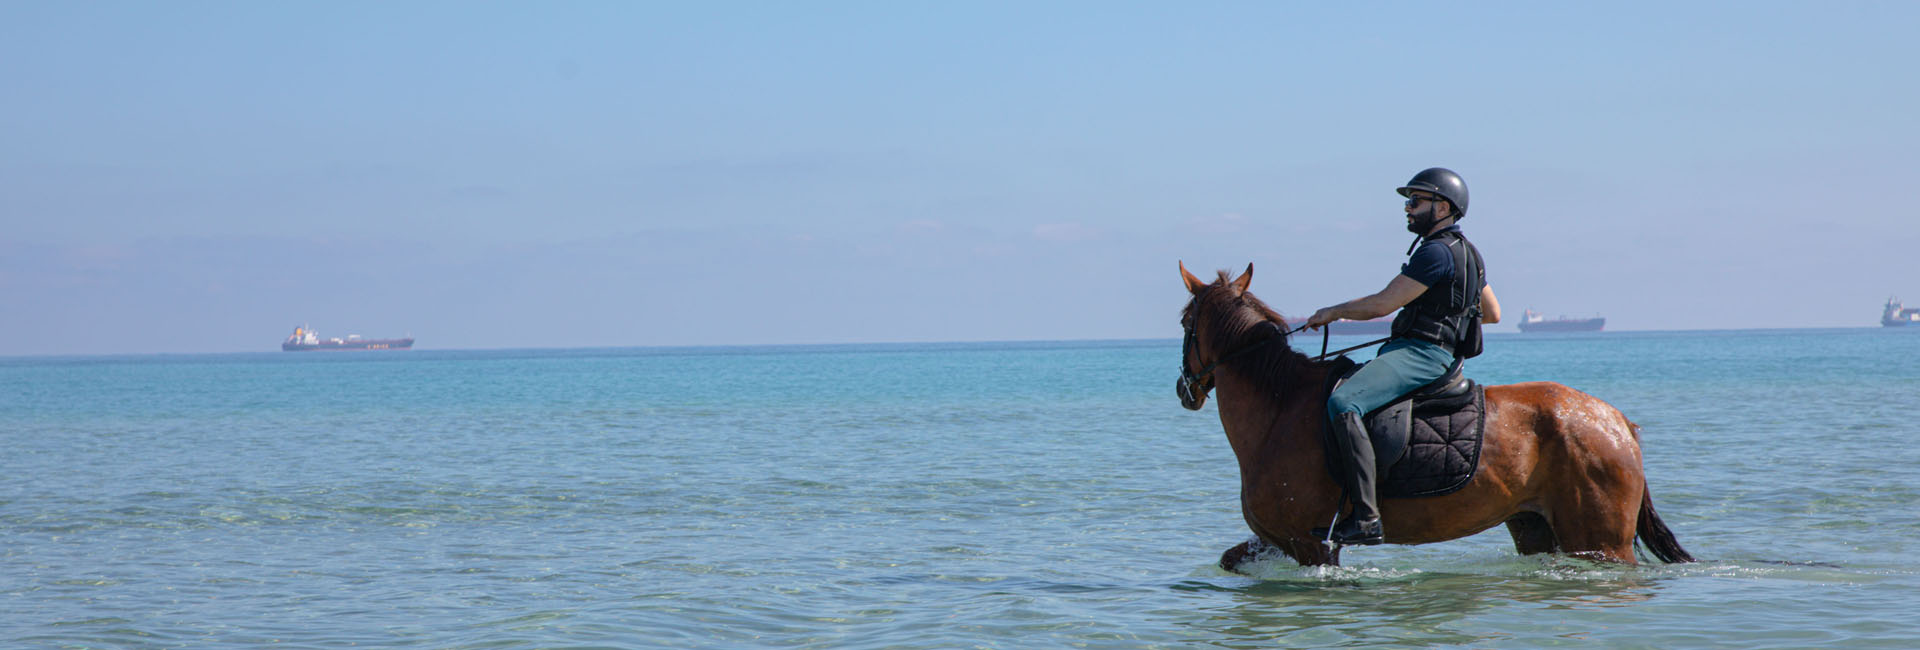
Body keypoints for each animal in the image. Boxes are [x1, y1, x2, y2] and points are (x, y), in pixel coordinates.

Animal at [1167, 262, 1697, 571]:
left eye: (1185, 322)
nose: (1184, 390)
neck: (1279, 411)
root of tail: (1618, 422)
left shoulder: (1312, 543)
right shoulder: (1279, 540)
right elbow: (1230, 560)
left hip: (1602, 542)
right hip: (1538, 529)